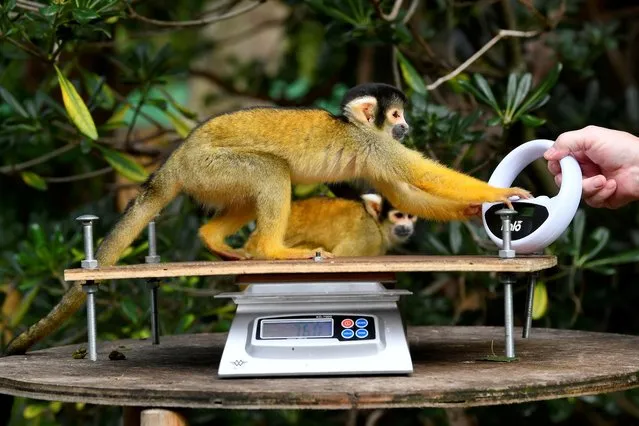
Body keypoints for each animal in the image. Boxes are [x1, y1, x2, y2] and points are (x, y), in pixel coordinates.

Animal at [5, 82, 532, 356]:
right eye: (397, 114)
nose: (405, 126)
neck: (356, 127)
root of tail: (177, 158)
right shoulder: (374, 143)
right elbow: (418, 174)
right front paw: (500, 192)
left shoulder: (375, 150)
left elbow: (405, 190)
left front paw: (470, 208)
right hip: (211, 166)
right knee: (271, 170)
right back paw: (272, 250)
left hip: (209, 176)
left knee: (256, 185)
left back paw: (218, 240)